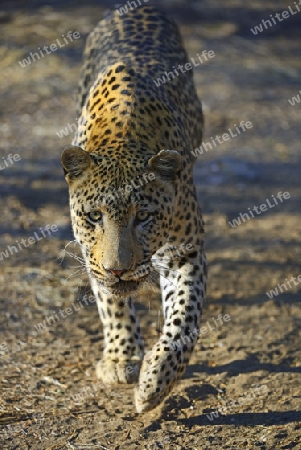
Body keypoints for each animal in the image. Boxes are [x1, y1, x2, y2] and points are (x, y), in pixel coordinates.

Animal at [61, 5, 206, 414]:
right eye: (94, 217)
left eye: (144, 217)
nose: (118, 269)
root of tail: (139, 5)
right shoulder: (91, 252)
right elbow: (111, 300)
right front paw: (122, 358)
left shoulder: (184, 250)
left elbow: (185, 315)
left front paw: (156, 381)